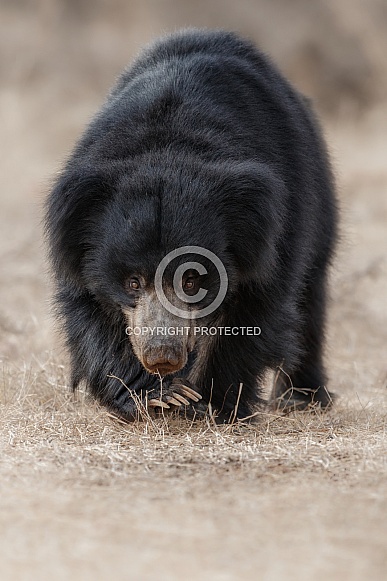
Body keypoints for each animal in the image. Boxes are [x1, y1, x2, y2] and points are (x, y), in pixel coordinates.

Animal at [45, 28, 338, 422]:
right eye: (133, 282)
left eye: (192, 280)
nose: (162, 356)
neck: (170, 146)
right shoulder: (78, 235)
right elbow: (88, 310)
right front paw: (160, 396)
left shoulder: (277, 228)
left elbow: (257, 309)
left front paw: (211, 402)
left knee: (310, 296)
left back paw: (303, 397)